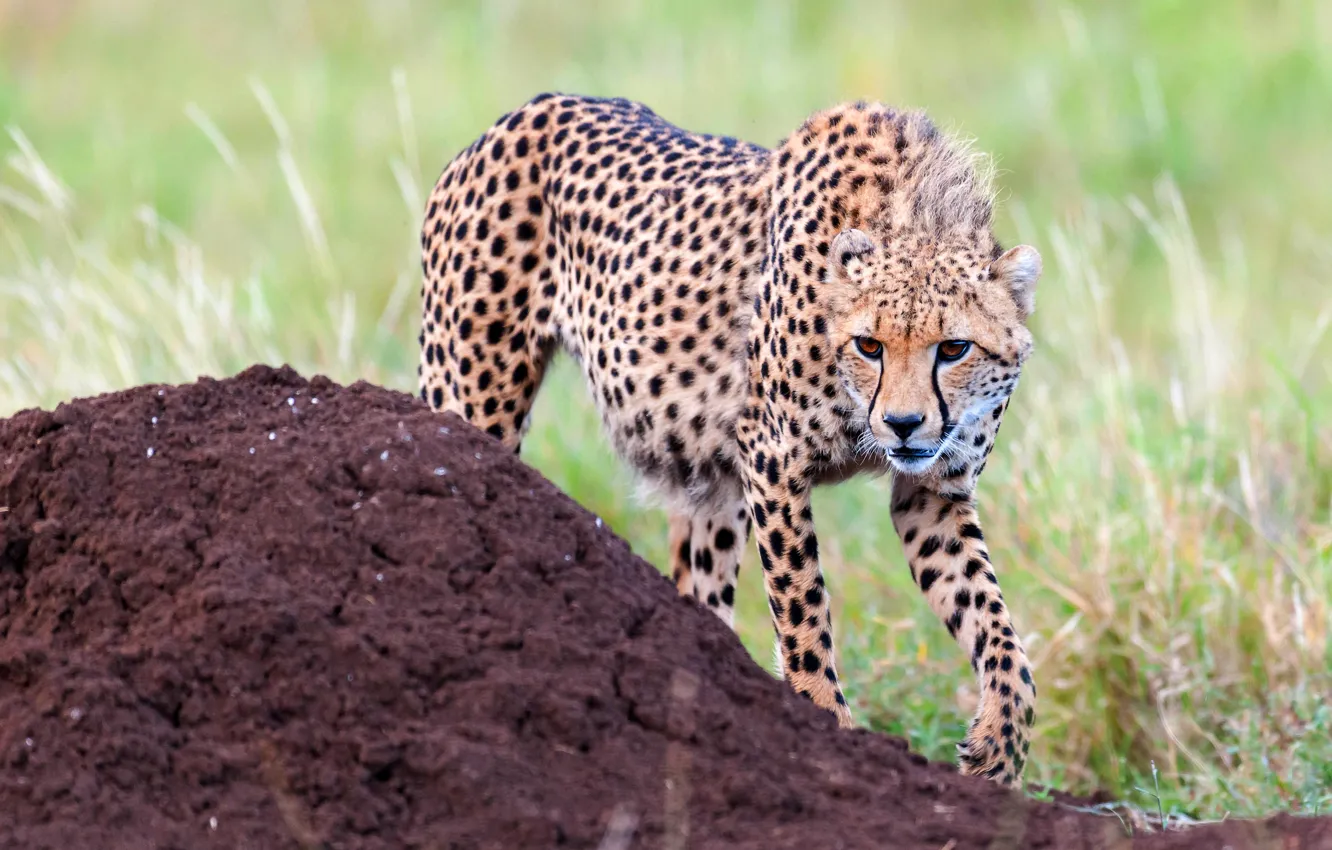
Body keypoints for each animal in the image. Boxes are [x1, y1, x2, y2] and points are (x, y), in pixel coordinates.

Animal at [418, 93, 1044, 786]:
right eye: (869, 345)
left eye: (954, 348)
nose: (903, 425)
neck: (908, 214)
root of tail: (530, 108)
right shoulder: (772, 456)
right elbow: (803, 613)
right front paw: (827, 728)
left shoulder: (931, 492)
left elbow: (995, 623)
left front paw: (1000, 745)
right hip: (473, 396)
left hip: (713, 498)